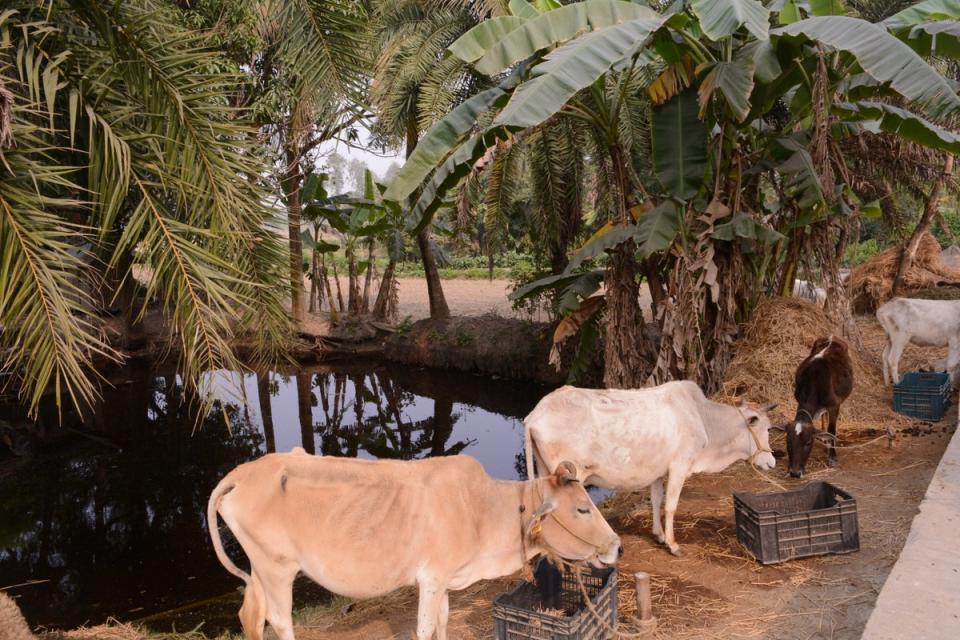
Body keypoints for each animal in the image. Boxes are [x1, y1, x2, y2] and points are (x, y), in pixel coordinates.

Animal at [208, 450, 624, 640]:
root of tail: (241, 473)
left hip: (261, 569)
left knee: (251, 616)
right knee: (279, 620)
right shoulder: (432, 578)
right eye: (582, 508)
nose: (617, 547)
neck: (483, 509)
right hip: (277, 568)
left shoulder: (444, 582)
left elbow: (441, 621)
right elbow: (424, 628)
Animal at [520, 382, 776, 556]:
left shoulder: (658, 472)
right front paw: (673, 544)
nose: (772, 461)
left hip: (546, 471)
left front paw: (659, 535)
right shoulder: (680, 466)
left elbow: (656, 500)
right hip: (572, 475)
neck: (703, 419)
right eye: (766, 428)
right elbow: (671, 505)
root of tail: (535, 414)